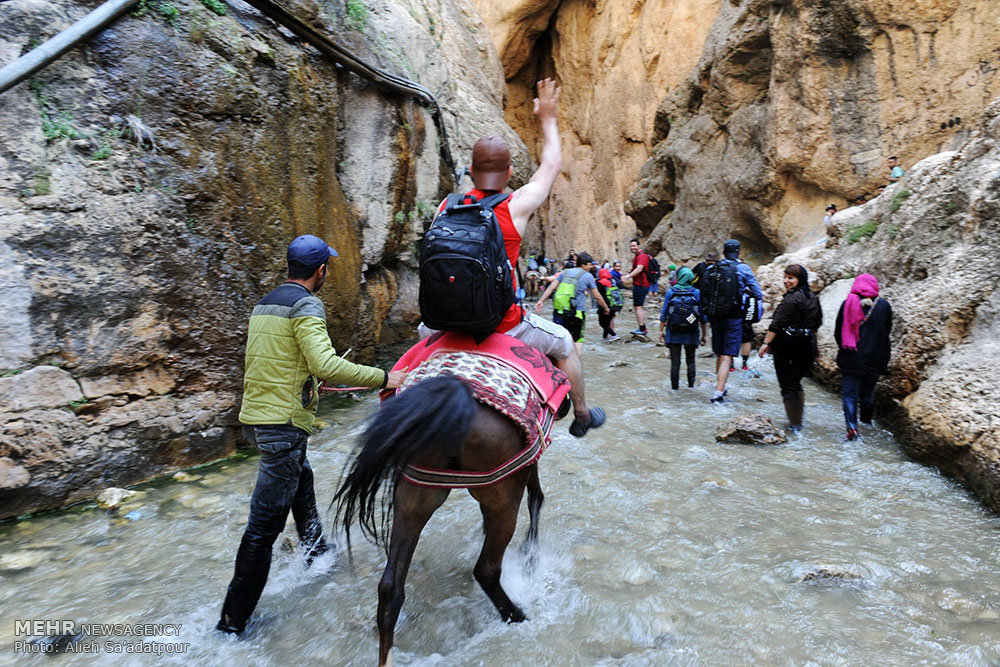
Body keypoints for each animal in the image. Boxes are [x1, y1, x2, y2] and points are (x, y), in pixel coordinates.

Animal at [336, 378, 556, 664]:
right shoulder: (524, 462)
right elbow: (536, 497)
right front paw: (530, 554)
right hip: (504, 496)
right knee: (486, 569)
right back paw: (518, 615)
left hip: (413, 498)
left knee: (390, 587)